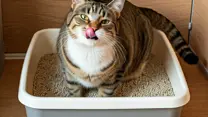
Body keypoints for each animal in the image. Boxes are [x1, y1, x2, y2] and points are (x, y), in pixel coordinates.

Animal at [56, 0, 198, 97]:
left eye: (105, 21)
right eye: (84, 17)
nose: (93, 28)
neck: (90, 52)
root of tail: (138, 8)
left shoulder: (114, 76)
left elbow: (104, 94)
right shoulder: (70, 76)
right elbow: (74, 92)